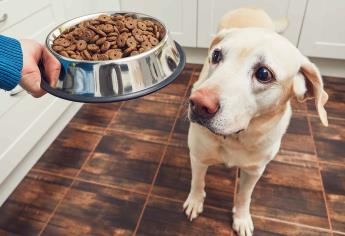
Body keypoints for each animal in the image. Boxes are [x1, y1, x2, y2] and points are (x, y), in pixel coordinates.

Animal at [183, 7, 328, 236]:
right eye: (216, 55)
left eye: (263, 73)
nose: (197, 104)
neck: (236, 138)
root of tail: (251, 7)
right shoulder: (198, 157)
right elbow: (197, 183)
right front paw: (195, 202)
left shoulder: (254, 171)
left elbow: (244, 196)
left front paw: (241, 219)